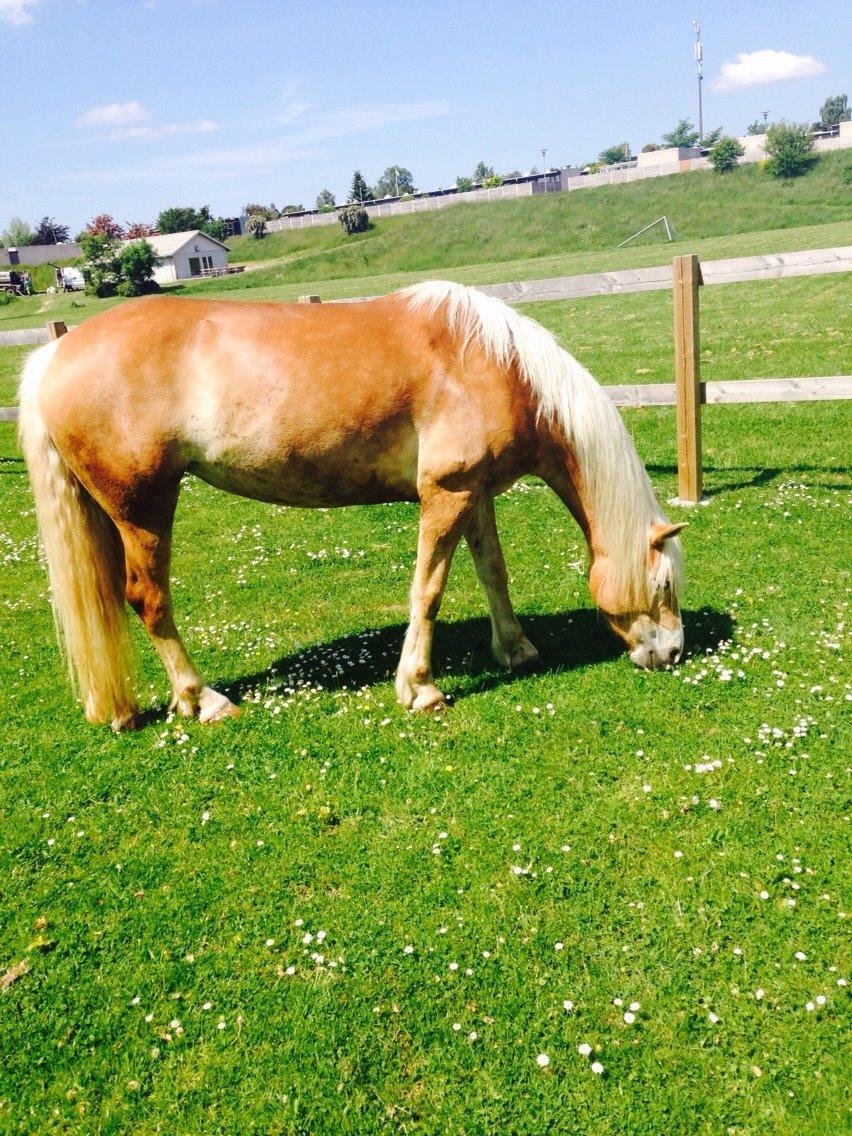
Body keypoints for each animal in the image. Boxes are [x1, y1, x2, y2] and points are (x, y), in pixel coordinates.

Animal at [18, 282, 686, 727]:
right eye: (663, 586)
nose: (673, 654)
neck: (496, 366)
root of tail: (56, 353)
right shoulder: (446, 494)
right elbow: (428, 591)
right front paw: (420, 687)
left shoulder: (474, 493)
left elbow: (492, 571)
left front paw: (516, 649)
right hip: (144, 509)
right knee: (147, 599)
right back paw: (202, 699)